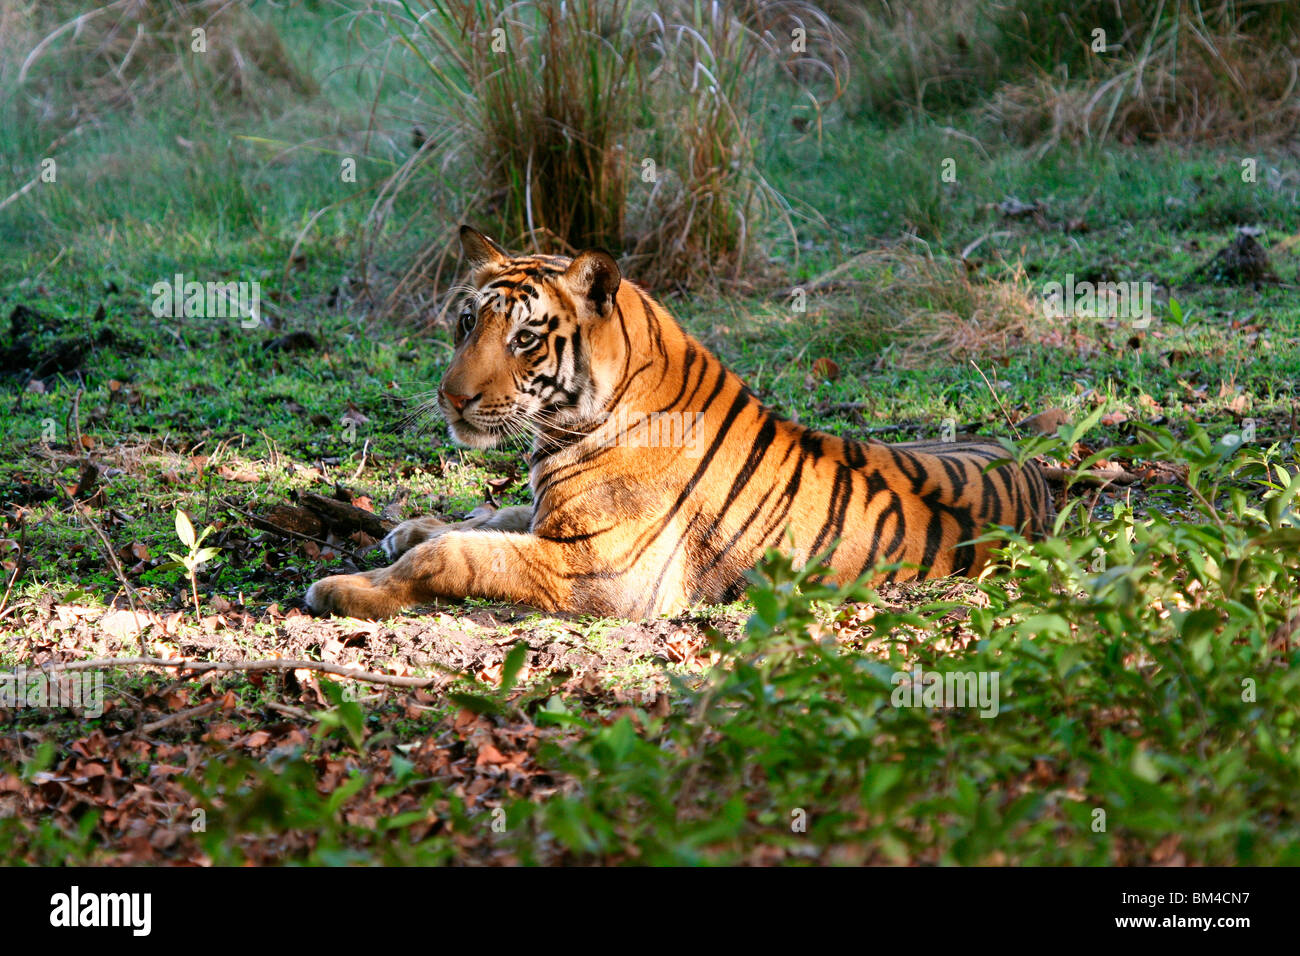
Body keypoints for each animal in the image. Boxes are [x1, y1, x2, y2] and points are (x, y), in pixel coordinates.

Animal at [304, 223, 1055, 621]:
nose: (450, 398)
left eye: (524, 339)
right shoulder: (553, 518)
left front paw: (342, 588)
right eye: (467, 322)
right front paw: (408, 527)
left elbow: (458, 553)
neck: (566, 429)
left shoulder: (602, 567)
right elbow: (486, 519)